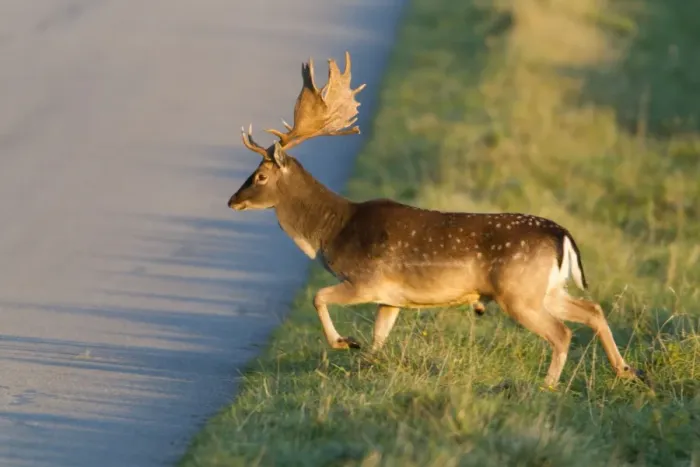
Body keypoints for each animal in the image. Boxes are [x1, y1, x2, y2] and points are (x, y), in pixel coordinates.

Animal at [227, 51, 646, 388]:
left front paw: (345, 342)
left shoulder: (366, 281)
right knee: (593, 311)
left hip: (519, 292)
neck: (332, 233)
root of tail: (563, 236)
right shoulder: (391, 299)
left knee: (562, 333)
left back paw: (548, 386)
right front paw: (365, 362)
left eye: (260, 176)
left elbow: (318, 297)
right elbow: (379, 338)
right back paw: (626, 371)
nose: (232, 201)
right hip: (546, 289)